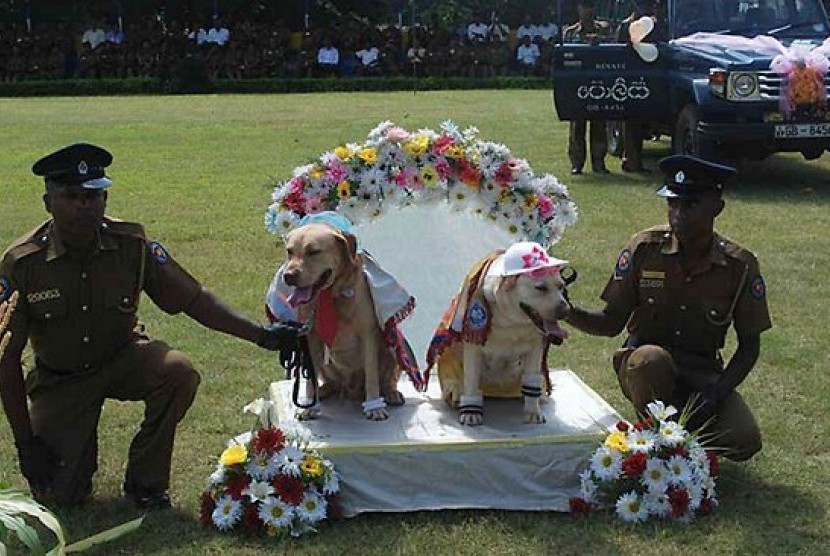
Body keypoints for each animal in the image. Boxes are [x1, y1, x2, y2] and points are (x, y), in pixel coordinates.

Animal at [282, 224, 406, 420]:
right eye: (289, 251)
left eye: (314, 251)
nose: (288, 276)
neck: (331, 294)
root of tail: (350, 389)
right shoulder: (312, 338)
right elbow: (310, 378)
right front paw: (309, 406)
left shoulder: (367, 335)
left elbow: (372, 376)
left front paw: (374, 407)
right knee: (330, 382)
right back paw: (321, 392)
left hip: (392, 350)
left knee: (387, 379)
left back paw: (391, 393)